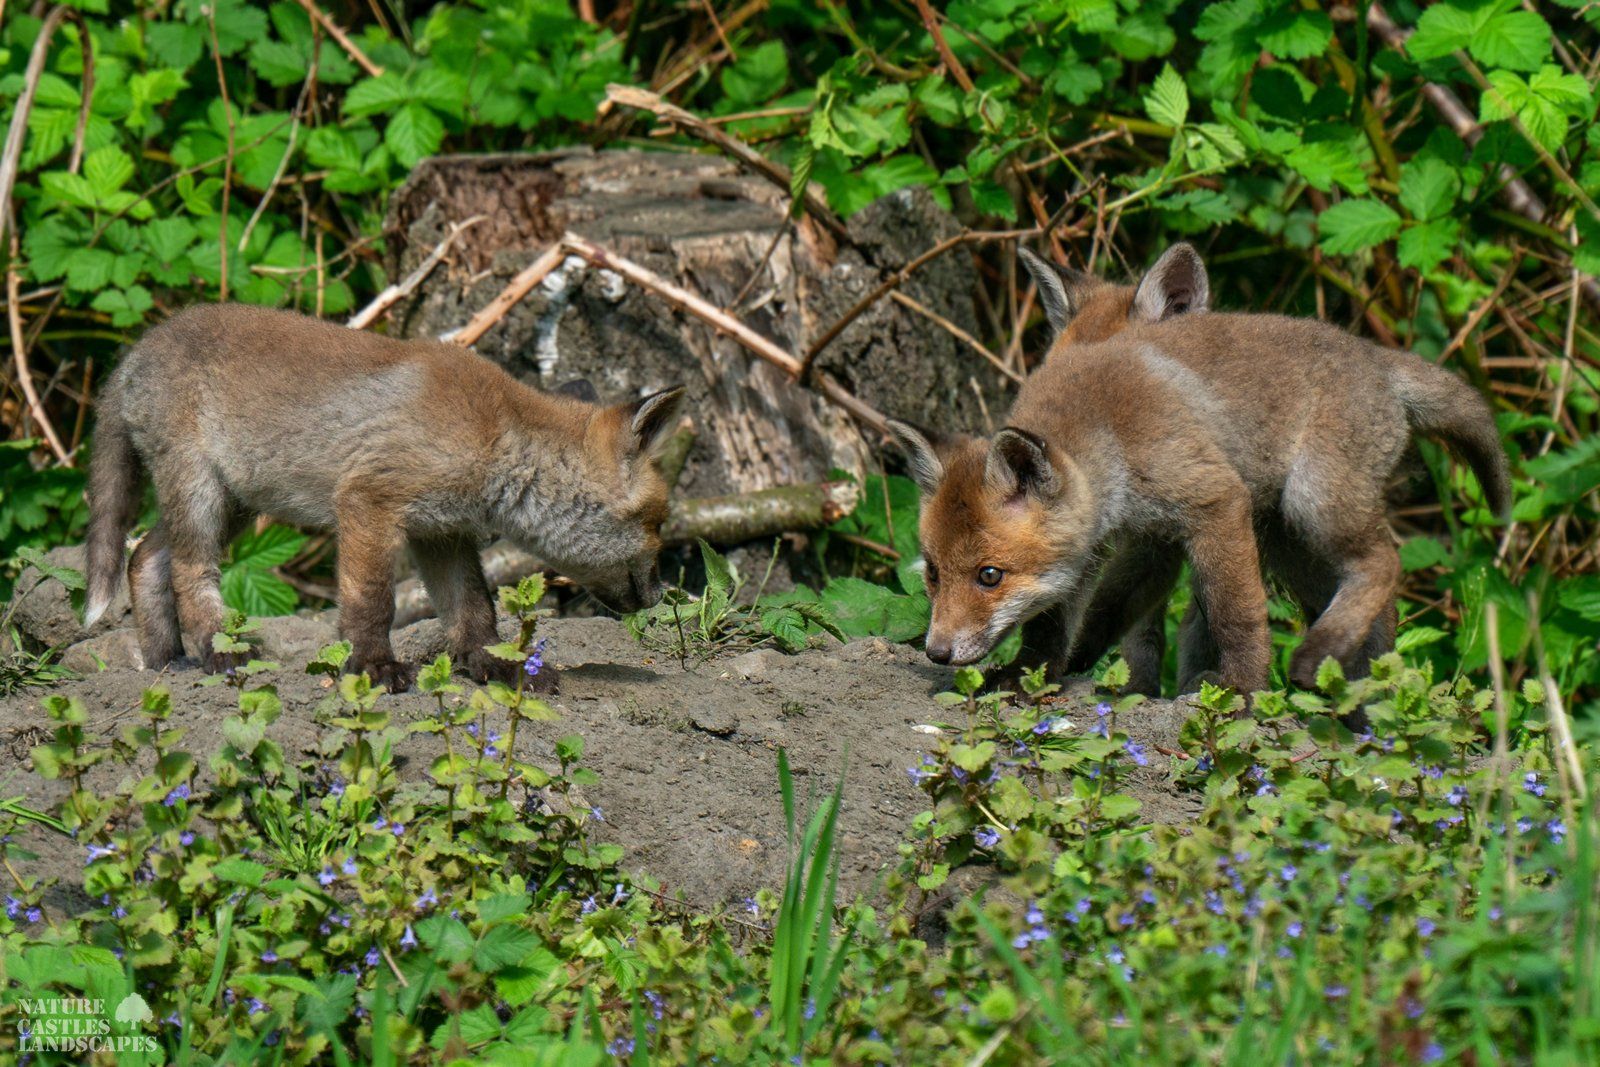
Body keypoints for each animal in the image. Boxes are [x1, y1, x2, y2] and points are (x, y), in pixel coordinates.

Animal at [83, 303, 684, 692]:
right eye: (657, 523)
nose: (661, 596)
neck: (494, 433)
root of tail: (139, 347)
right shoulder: (368, 502)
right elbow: (373, 602)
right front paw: (373, 667)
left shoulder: (441, 531)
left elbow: (473, 609)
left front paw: (496, 667)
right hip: (202, 495)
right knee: (188, 571)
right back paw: (216, 652)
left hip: (235, 503)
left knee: (143, 557)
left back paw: (167, 661)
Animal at [889, 244, 1511, 697]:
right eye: (933, 574)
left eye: (989, 576)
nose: (936, 651)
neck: (1109, 434)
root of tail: (1377, 358)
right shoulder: (1139, 539)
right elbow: (1089, 617)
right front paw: (1038, 675)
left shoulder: (1213, 503)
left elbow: (1237, 614)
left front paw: (1240, 690)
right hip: (1289, 541)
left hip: (1313, 501)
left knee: (1384, 564)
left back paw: (1319, 661)